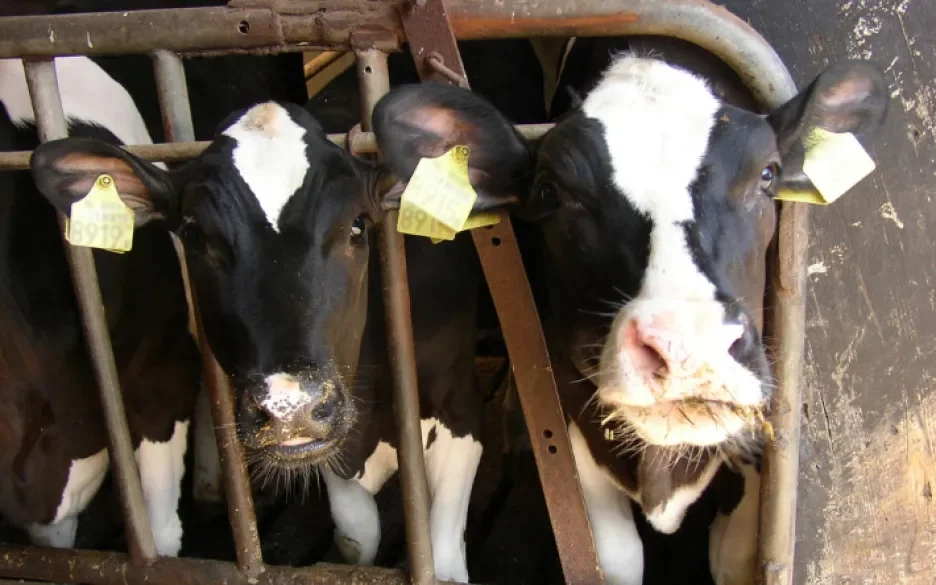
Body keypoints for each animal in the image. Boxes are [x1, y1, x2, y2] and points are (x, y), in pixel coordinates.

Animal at [28, 96, 486, 580]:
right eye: (194, 235)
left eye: (358, 224)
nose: (290, 408)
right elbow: (356, 535)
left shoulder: (461, 403)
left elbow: (443, 561)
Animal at [370, 51, 888, 584]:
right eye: (551, 193)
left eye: (767, 175)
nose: (688, 348)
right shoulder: (574, 414)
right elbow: (616, 557)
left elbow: (735, 560)